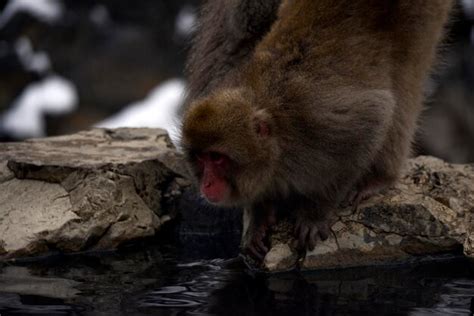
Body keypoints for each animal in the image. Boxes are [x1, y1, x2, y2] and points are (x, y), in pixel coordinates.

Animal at [180, 0, 454, 262]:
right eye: (201, 158)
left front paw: (314, 212)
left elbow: (374, 117)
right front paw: (259, 217)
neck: (279, 140)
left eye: (217, 158)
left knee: (405, 81)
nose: (206, 183)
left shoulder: (317, 121)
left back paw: (380, 177)